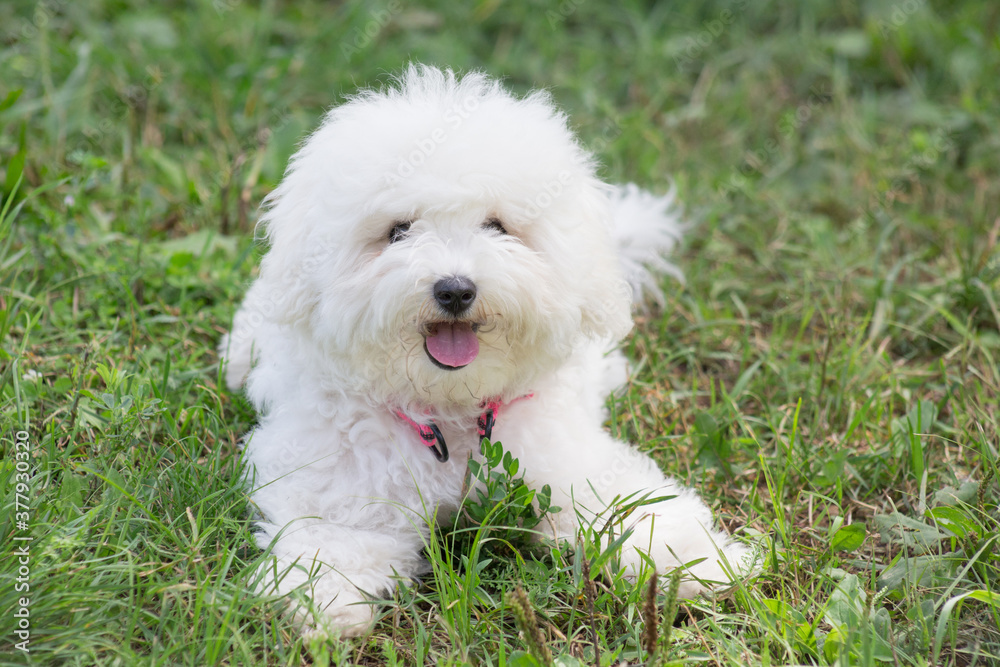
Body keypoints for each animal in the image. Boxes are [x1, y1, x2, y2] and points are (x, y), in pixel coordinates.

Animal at [221, 64, 752, 636]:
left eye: (497, 226)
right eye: (398, 231)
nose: (454, 290)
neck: (450, 411)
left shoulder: (565, 464)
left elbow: (630, 506)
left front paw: (700, 560)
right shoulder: (342, 485)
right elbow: (336, 539)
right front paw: (320, 601)